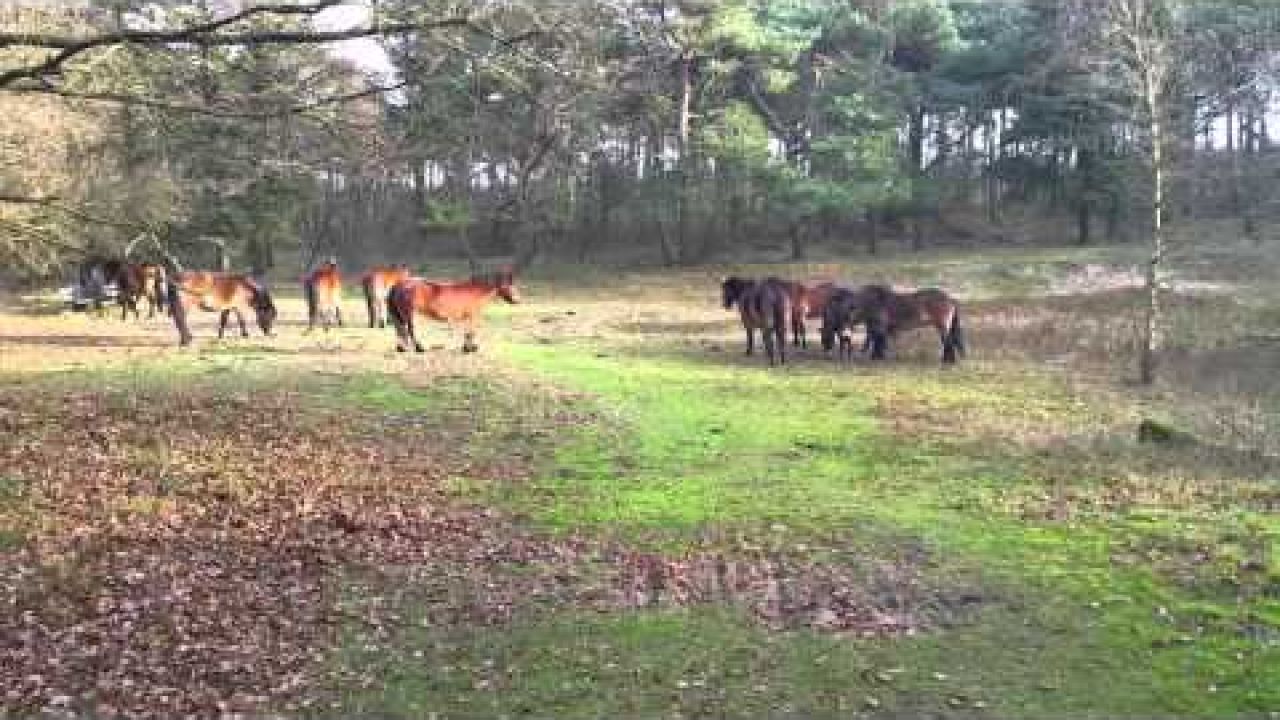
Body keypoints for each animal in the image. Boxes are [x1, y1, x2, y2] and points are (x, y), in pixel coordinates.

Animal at [384, 267, 519, 351]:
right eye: (510, 285)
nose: (518, 300)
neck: (475, 291)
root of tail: (399, 285)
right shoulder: (472, 316)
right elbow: (471, 332)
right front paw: (470, 348)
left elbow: (468, 332)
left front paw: (467, 347)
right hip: (410, 314)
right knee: (409, 329)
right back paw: (419, 348)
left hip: (401, 315)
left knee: (400, 329)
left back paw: (403, 348)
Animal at [819, 284, 962, 363]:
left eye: (826, 335)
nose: (826, 352)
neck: (867, 303)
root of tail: (949, 298)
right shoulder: (874, 327)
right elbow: (874, 340)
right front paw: (876, 355)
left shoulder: (879, 326)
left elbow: (878, 341)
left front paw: (877, 356)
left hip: (942, 325)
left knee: (948, 341)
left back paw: (948, 360)